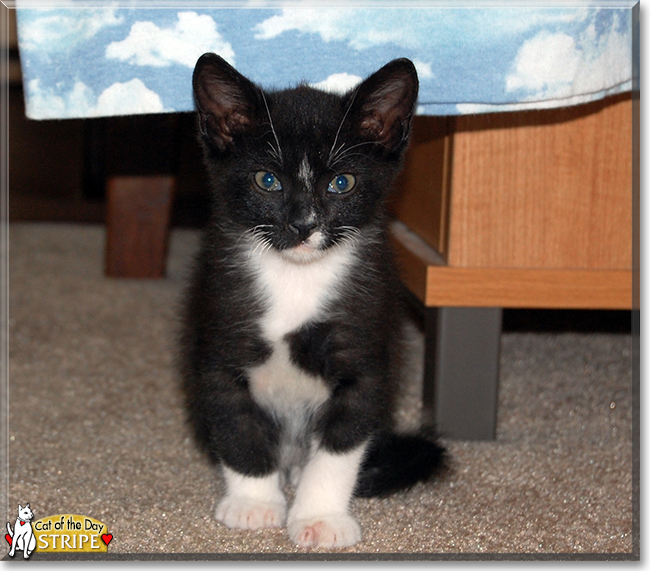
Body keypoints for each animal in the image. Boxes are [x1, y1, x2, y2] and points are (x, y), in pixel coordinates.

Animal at [182, 53, 446, 548]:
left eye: (341, 183)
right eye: (267, 180)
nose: (303, 225)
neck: (295, 278)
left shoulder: (364, 348)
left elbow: (341, 444)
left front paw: (320, 517)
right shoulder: (220, 332)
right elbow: (236, 425)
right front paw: (254, 503)